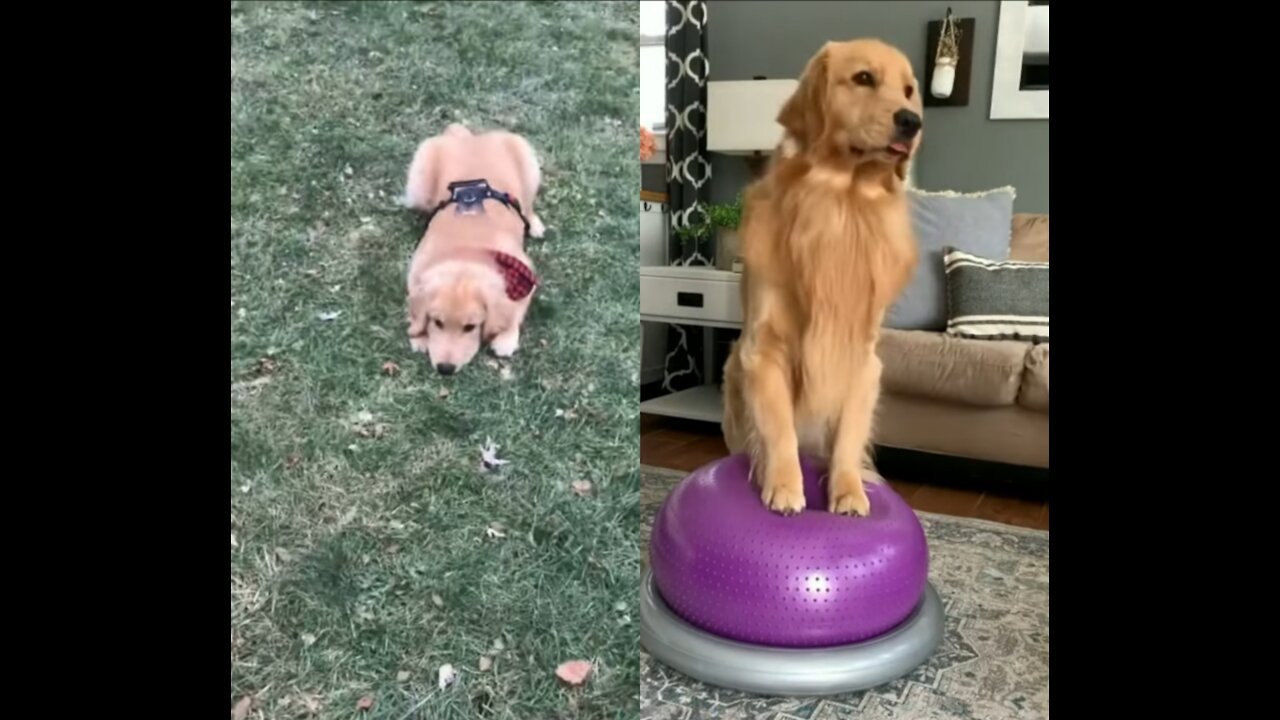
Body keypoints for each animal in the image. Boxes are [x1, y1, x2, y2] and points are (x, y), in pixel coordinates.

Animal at [404, 121, 545, 376]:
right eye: (437, 322)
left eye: (470, 327)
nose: (445, 369)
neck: (468, 252)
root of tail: (468, 137)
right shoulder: (415, 272)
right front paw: (418, 335)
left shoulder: (526, 276)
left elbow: (515, 310)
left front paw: (506, 338)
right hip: (418, 183)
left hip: (529, 163)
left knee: (528, 206)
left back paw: (536, 225)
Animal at [721, 39, 921, 512]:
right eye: (864, 77)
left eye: (909, 90)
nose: (912, 121)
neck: (841, 206)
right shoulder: (763, 348)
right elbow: (779, 429)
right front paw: (784, 487)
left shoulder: (862, 358)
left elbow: (848, 437)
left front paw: (848, 493)